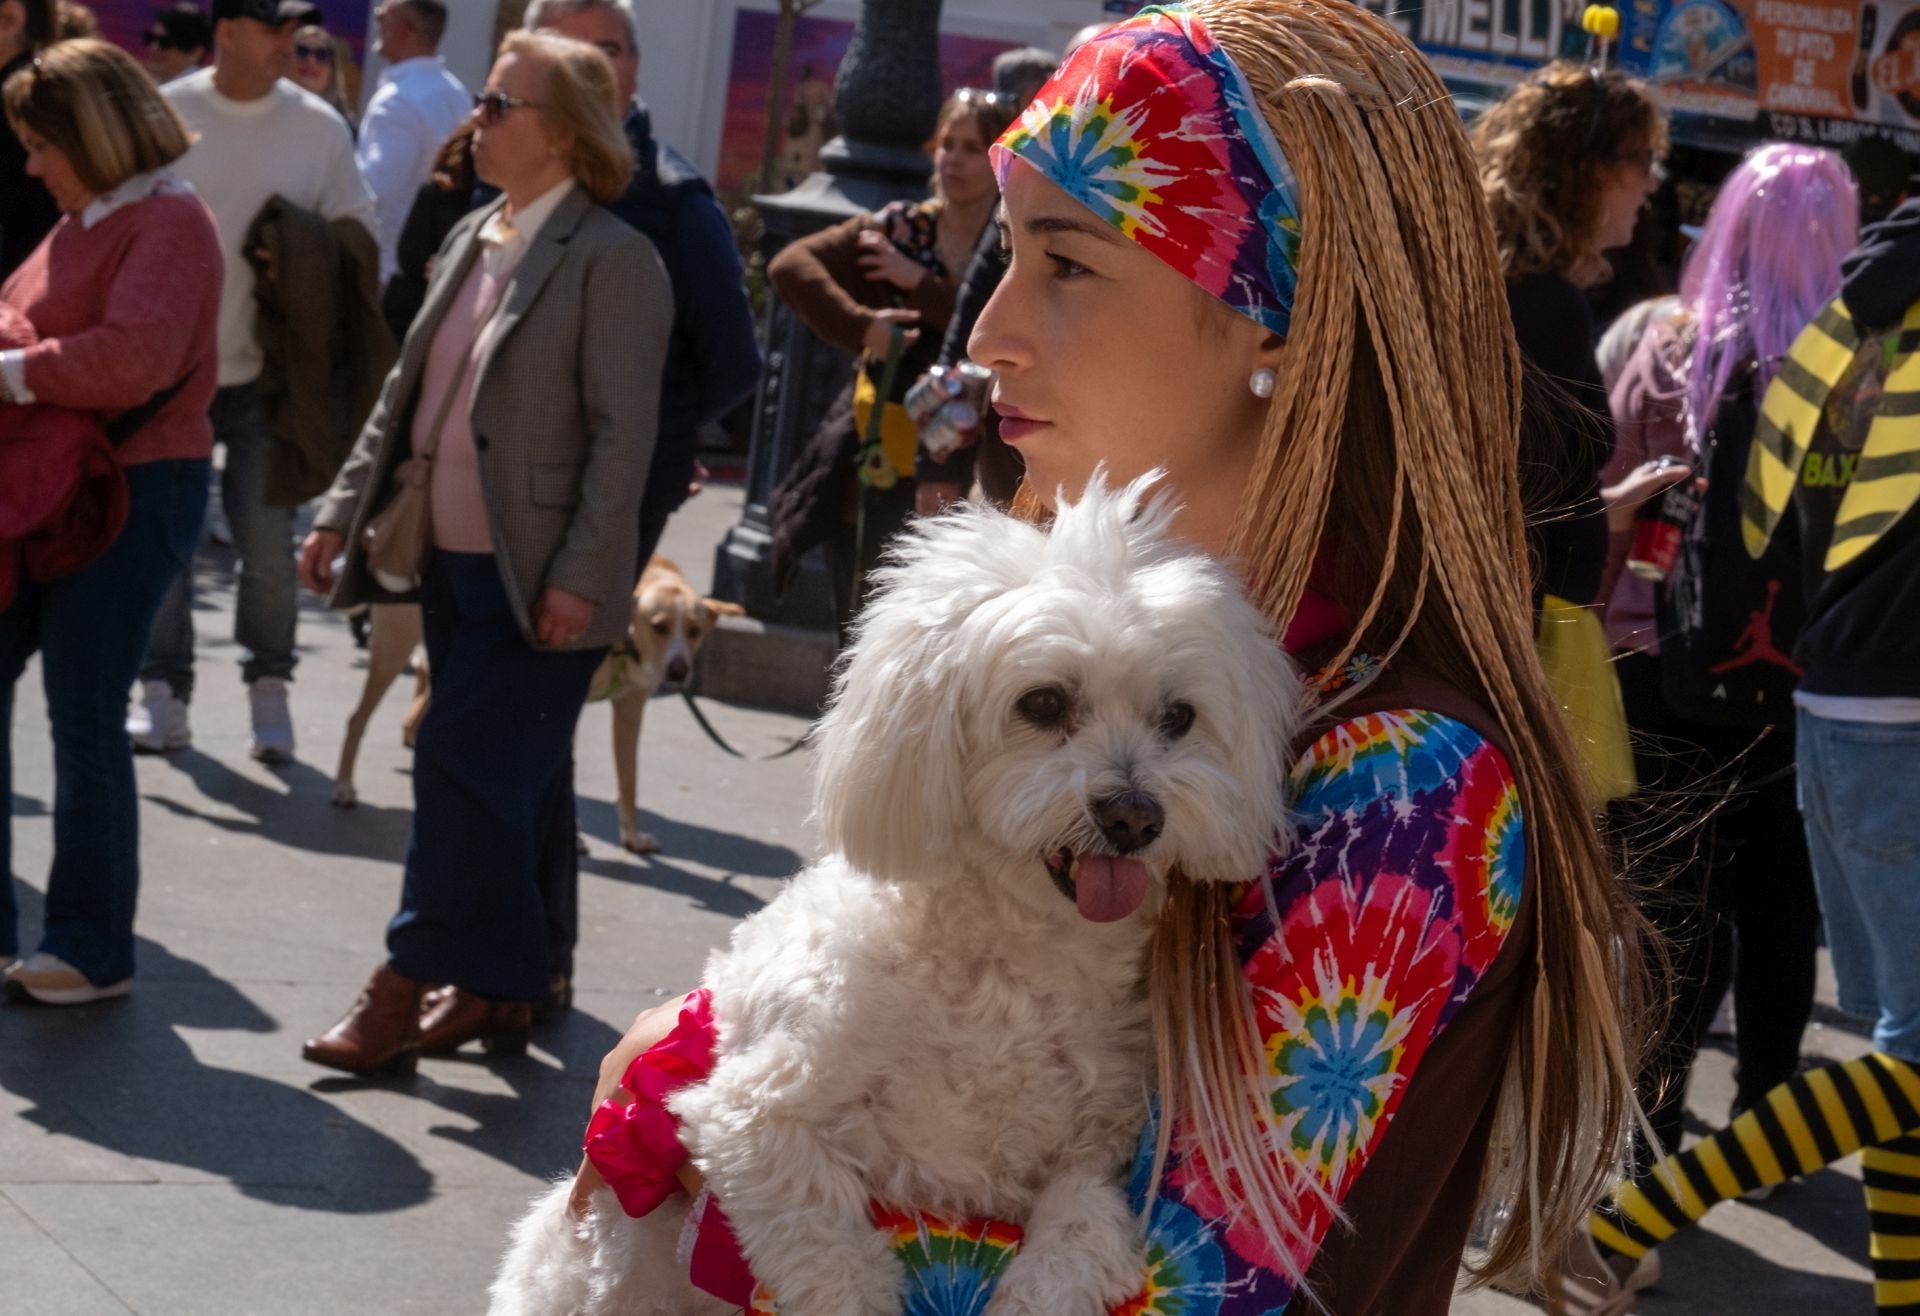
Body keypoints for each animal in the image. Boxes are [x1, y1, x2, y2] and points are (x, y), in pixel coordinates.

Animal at [328, 560, 733, 856]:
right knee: (355, 720)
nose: (679, 671)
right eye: (659, 626)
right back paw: (345, 787)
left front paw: (632, 839)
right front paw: (574, 839)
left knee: (416, 723)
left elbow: (629, 780)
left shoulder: (631, 707)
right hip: (394, 651)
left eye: (695, 631)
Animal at [491, 476, 1305, 1314]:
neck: (1018, 961)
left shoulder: (1100, 1149)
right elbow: (834, 1256)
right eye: (1043, 704)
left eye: (1179, 716)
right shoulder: (753, 1114)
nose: (1135, 816)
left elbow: (1081, 1220)